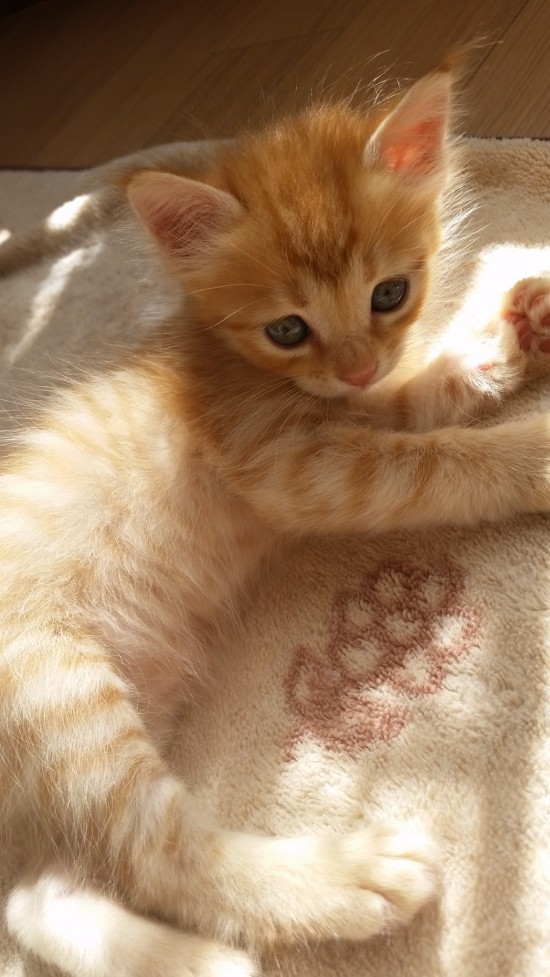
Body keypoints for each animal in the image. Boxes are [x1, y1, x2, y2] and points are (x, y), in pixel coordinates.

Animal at [3, 56, 550, 977]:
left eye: (390, 293)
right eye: (288, 328)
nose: (357, 364)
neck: (235, 362)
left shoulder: (356, 409)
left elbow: (427, 389)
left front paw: (514, 328)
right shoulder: (297, 463)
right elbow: (445, 461)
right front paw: (535, 447)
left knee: (43, 895)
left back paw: (197, 961)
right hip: (60, 693)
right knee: (156, 851)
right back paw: (343, 880)